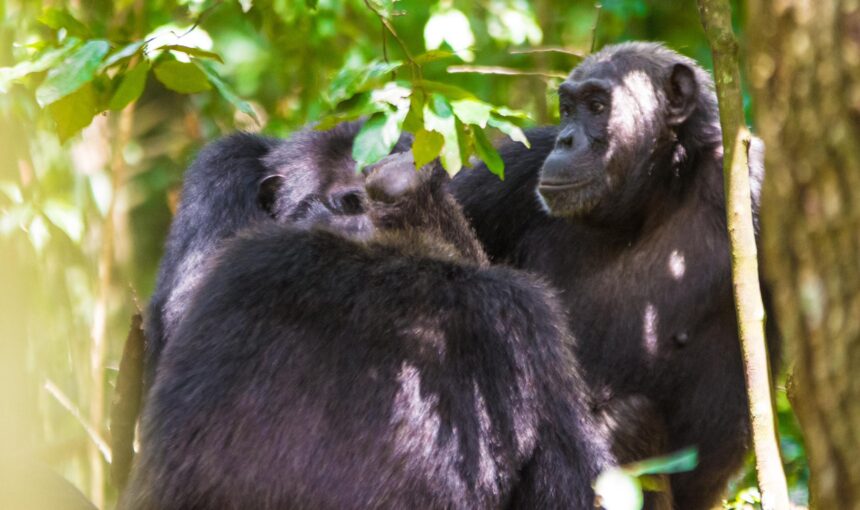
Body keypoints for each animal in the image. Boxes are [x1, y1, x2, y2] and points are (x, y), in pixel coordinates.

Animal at [450, 41, 780, 508]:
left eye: (597, 106)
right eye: (567, 109)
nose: (567, 140)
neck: (654, 195)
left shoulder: (754, 184)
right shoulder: (520, 162)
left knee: (629, 420)